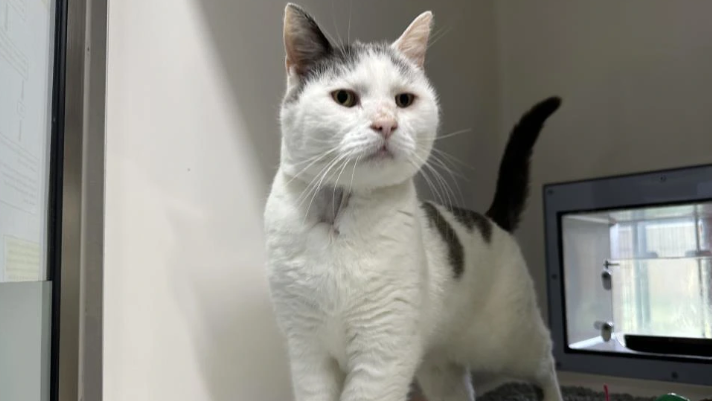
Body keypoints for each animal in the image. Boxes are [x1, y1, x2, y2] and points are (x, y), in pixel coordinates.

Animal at [264, 3, 564, 400]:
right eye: (344, 98)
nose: (386, 124)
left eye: (403, 100)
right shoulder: (307, 353)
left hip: (507, 342)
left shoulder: (383, 353)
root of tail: (490, 221)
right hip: (440, 366)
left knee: (546, 358)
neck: (339, 218)